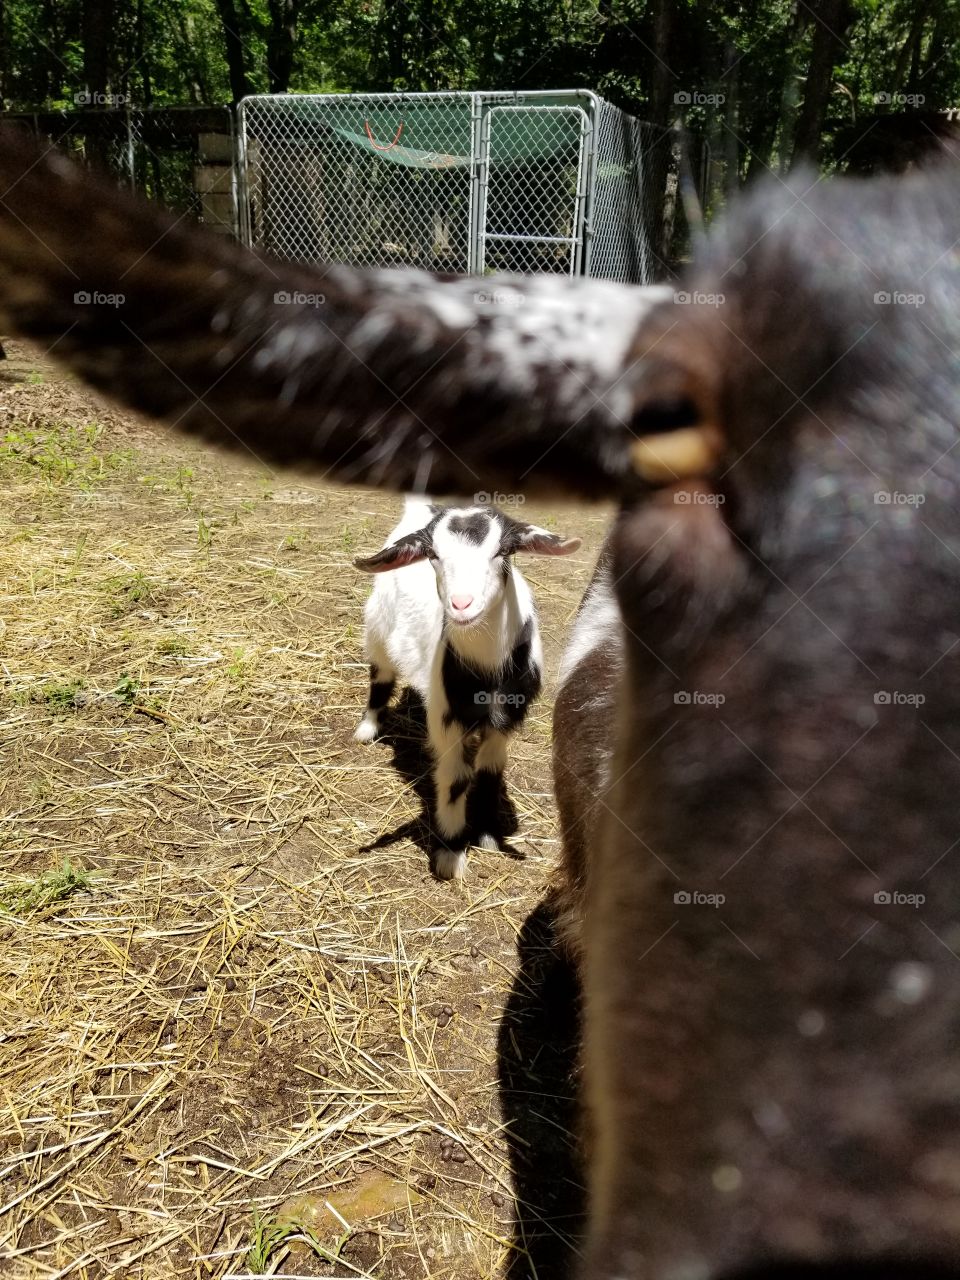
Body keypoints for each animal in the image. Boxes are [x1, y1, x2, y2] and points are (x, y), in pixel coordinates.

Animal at [354, 496, 579, 878]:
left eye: (502, 551)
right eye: (433, 554)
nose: (461, 605)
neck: (487, 673)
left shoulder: (505, 720)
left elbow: (489, 771)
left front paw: (487, 835)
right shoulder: (446, 719)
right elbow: (455, 778)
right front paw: (450, 852)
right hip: (378, 624)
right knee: (380, 674)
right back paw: (367, 728)